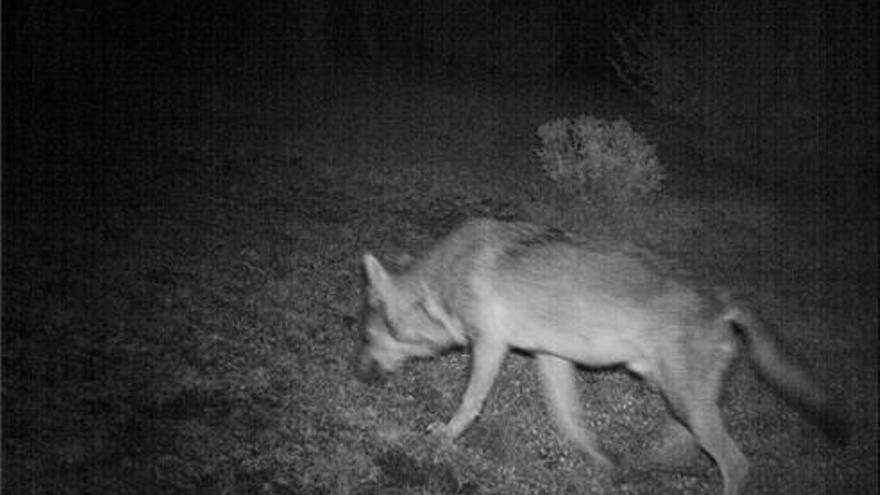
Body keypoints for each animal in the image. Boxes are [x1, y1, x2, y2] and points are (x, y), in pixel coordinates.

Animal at [354, 218, 848, 495]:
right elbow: (571, 422)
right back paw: (651, 460)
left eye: (363, 335)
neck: (440, 282)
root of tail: (724, 300)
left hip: (684, 400)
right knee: (687, 442)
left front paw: (443, 438)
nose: (355, 373)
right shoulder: (550, 358)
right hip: (677, 395)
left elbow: (468, 403)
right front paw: (603, 464)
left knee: (736, 464)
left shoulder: (490, 346)